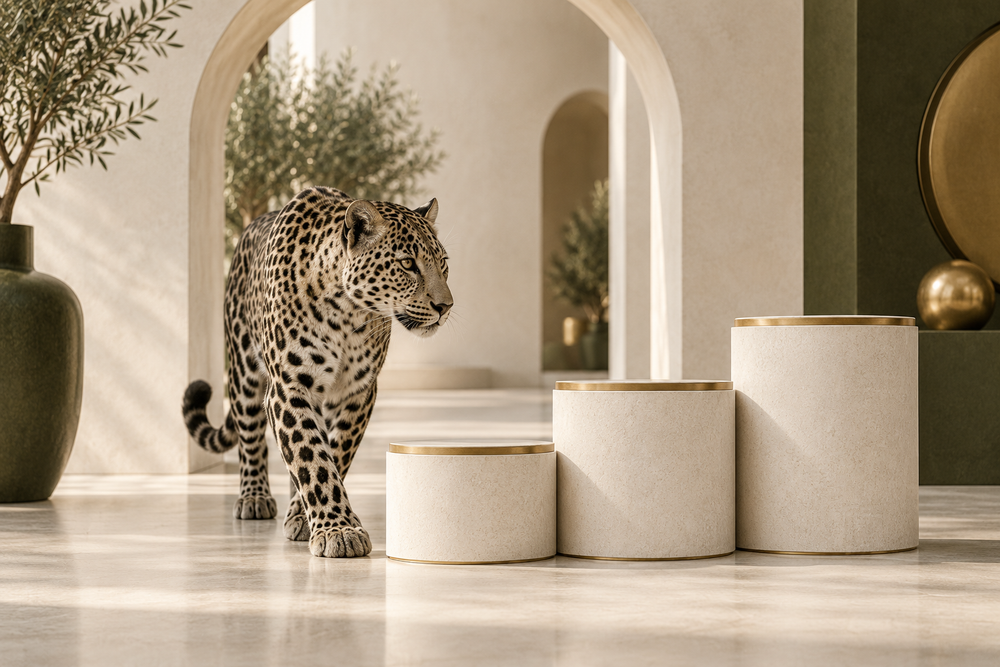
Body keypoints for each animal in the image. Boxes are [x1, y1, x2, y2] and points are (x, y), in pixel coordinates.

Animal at [181, 186, 452, 558]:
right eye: (407, 264)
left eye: (444, 265)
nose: (446, 307)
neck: (349, 313)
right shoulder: (289, 386)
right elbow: (310, 455)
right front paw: (339, 530)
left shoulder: (357, 391)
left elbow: (333, 453)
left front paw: (307, 517)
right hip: (242, 371)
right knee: (250, 435)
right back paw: (254, 497)